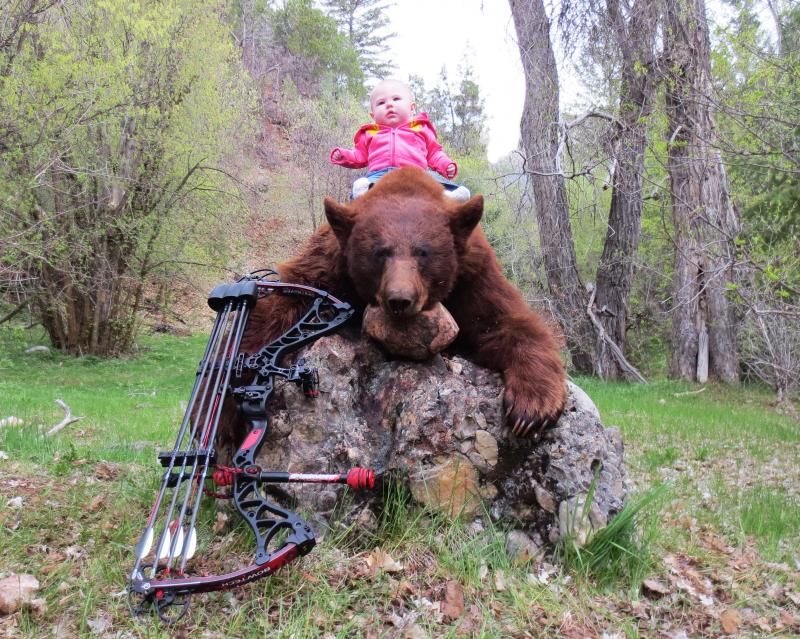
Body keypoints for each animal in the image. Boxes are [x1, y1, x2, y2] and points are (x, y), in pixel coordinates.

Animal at [238, 167, 566, 439]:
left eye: (423, 253)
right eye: (380, 253)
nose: (399, 300)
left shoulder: (472, 274)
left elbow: (504, 322)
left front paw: (531, 408)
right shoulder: (327, 268)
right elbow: (280, 308)